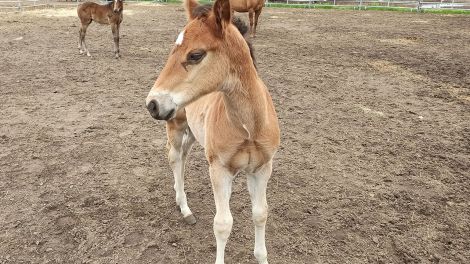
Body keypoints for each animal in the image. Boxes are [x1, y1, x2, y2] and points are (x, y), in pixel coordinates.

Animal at [145, 0, 280, 264]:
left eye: (195, 55)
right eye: (172, 50)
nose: (152, 104)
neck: (249, 127)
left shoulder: (261, 168)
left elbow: (261, 213)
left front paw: (262, 256)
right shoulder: (219, 169)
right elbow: (223, 224)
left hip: (193, 132)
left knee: (183, 157)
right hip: (176, 124)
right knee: (174, 158)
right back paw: (184, 207)